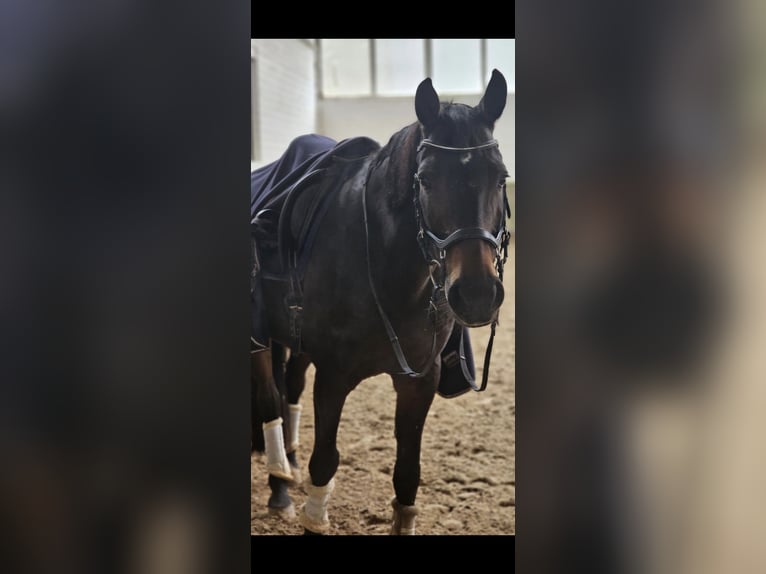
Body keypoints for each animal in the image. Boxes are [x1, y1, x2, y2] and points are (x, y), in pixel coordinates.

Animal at [254, 70, 509, 534]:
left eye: (500, 178)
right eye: (425, 179)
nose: (478, 294)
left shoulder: (419, 381)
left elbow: (407, 476)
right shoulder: (333, 376)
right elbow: (324, 465)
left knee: (290, 387)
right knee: (269, 400)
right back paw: (280, 485)